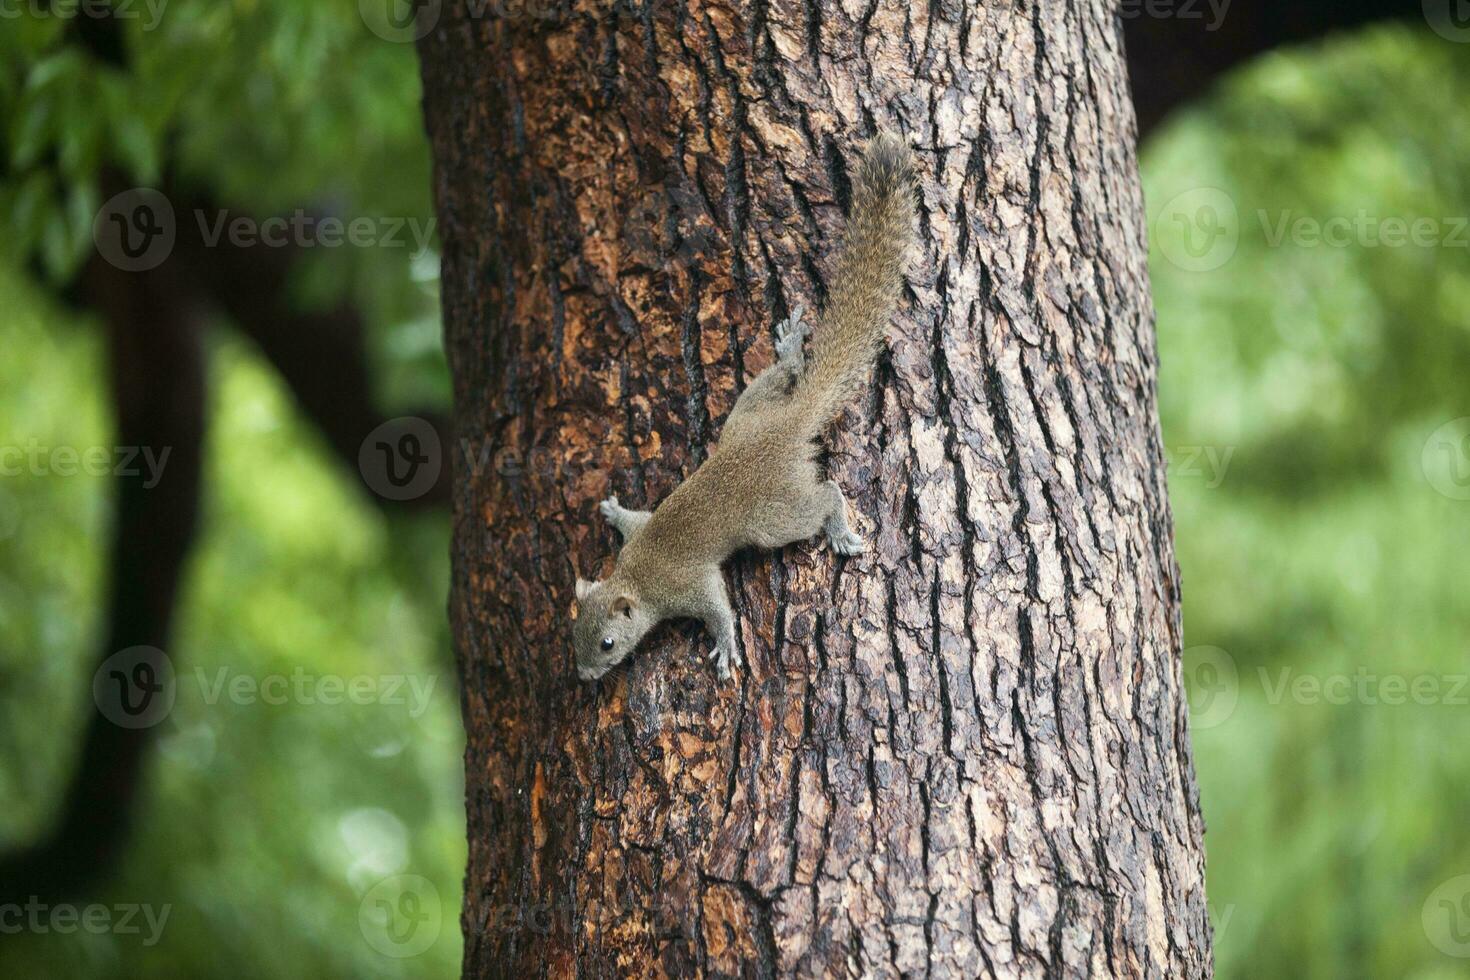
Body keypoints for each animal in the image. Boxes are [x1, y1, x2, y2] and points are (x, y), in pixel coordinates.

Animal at [573, 132, 917, 681]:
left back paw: (840, 529)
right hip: (747, 413)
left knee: (825, 496)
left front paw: (726, 646)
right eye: (572, 635)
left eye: (607, 643)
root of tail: (790, 425)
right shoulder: (641, 532)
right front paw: (612, 510)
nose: (584, 676)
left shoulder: (689, 586)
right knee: (779, 380)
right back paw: (791, 347)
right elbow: (632, 518)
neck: (635, 574)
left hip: (773, 516)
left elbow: (717, 607)